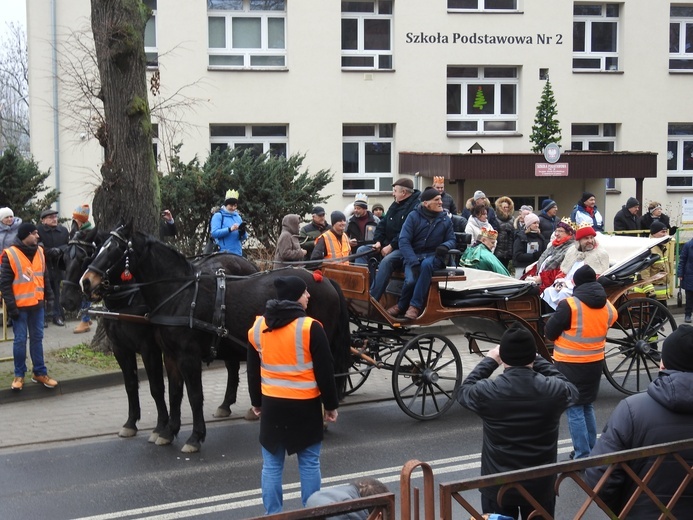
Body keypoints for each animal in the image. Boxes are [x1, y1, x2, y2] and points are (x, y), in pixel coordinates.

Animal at [60, 228, 256, 442]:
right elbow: (131, 385)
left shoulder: (149, 348)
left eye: (84, 257)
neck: (129, 298)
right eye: (64, 258)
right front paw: (131, 423)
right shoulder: (121, 349)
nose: (68, 299)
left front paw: (161, 425)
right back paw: (226, 405)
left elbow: (156, 387)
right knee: (232, 366)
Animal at [80, 225, 348, 452]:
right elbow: (173, 392)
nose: (86, 281)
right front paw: (168, 432)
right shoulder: (169, 355)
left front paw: (194, 437)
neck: (180, 293)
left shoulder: (184, 355)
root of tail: (323, 278)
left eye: (114, 249)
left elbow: (193, 395)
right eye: (97, 248)